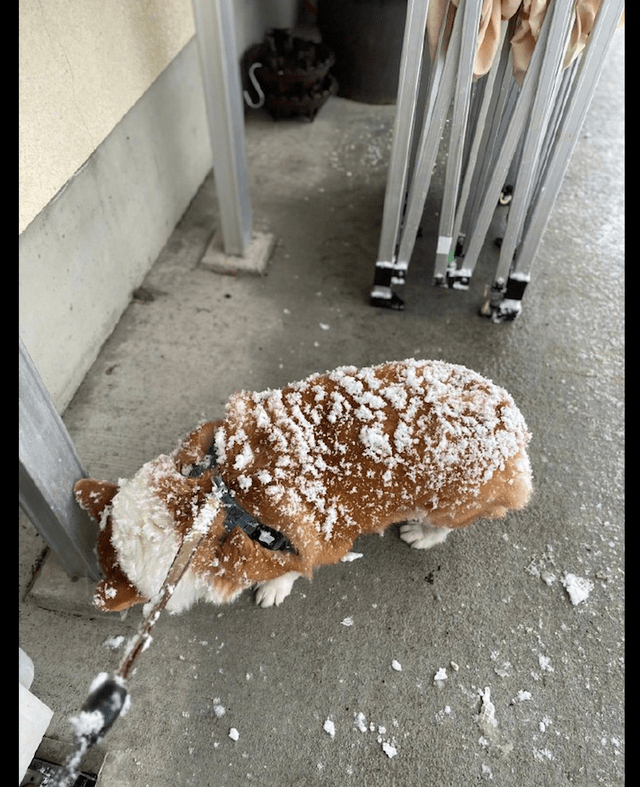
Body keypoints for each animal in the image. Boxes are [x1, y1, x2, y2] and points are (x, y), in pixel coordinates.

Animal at [75, 360, 532, 612]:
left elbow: (289, 571)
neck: (216, 503)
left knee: (447, 525)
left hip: (447, 503)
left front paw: (272, 590)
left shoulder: (303, 548)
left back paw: (420, 533)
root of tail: (513, 421)